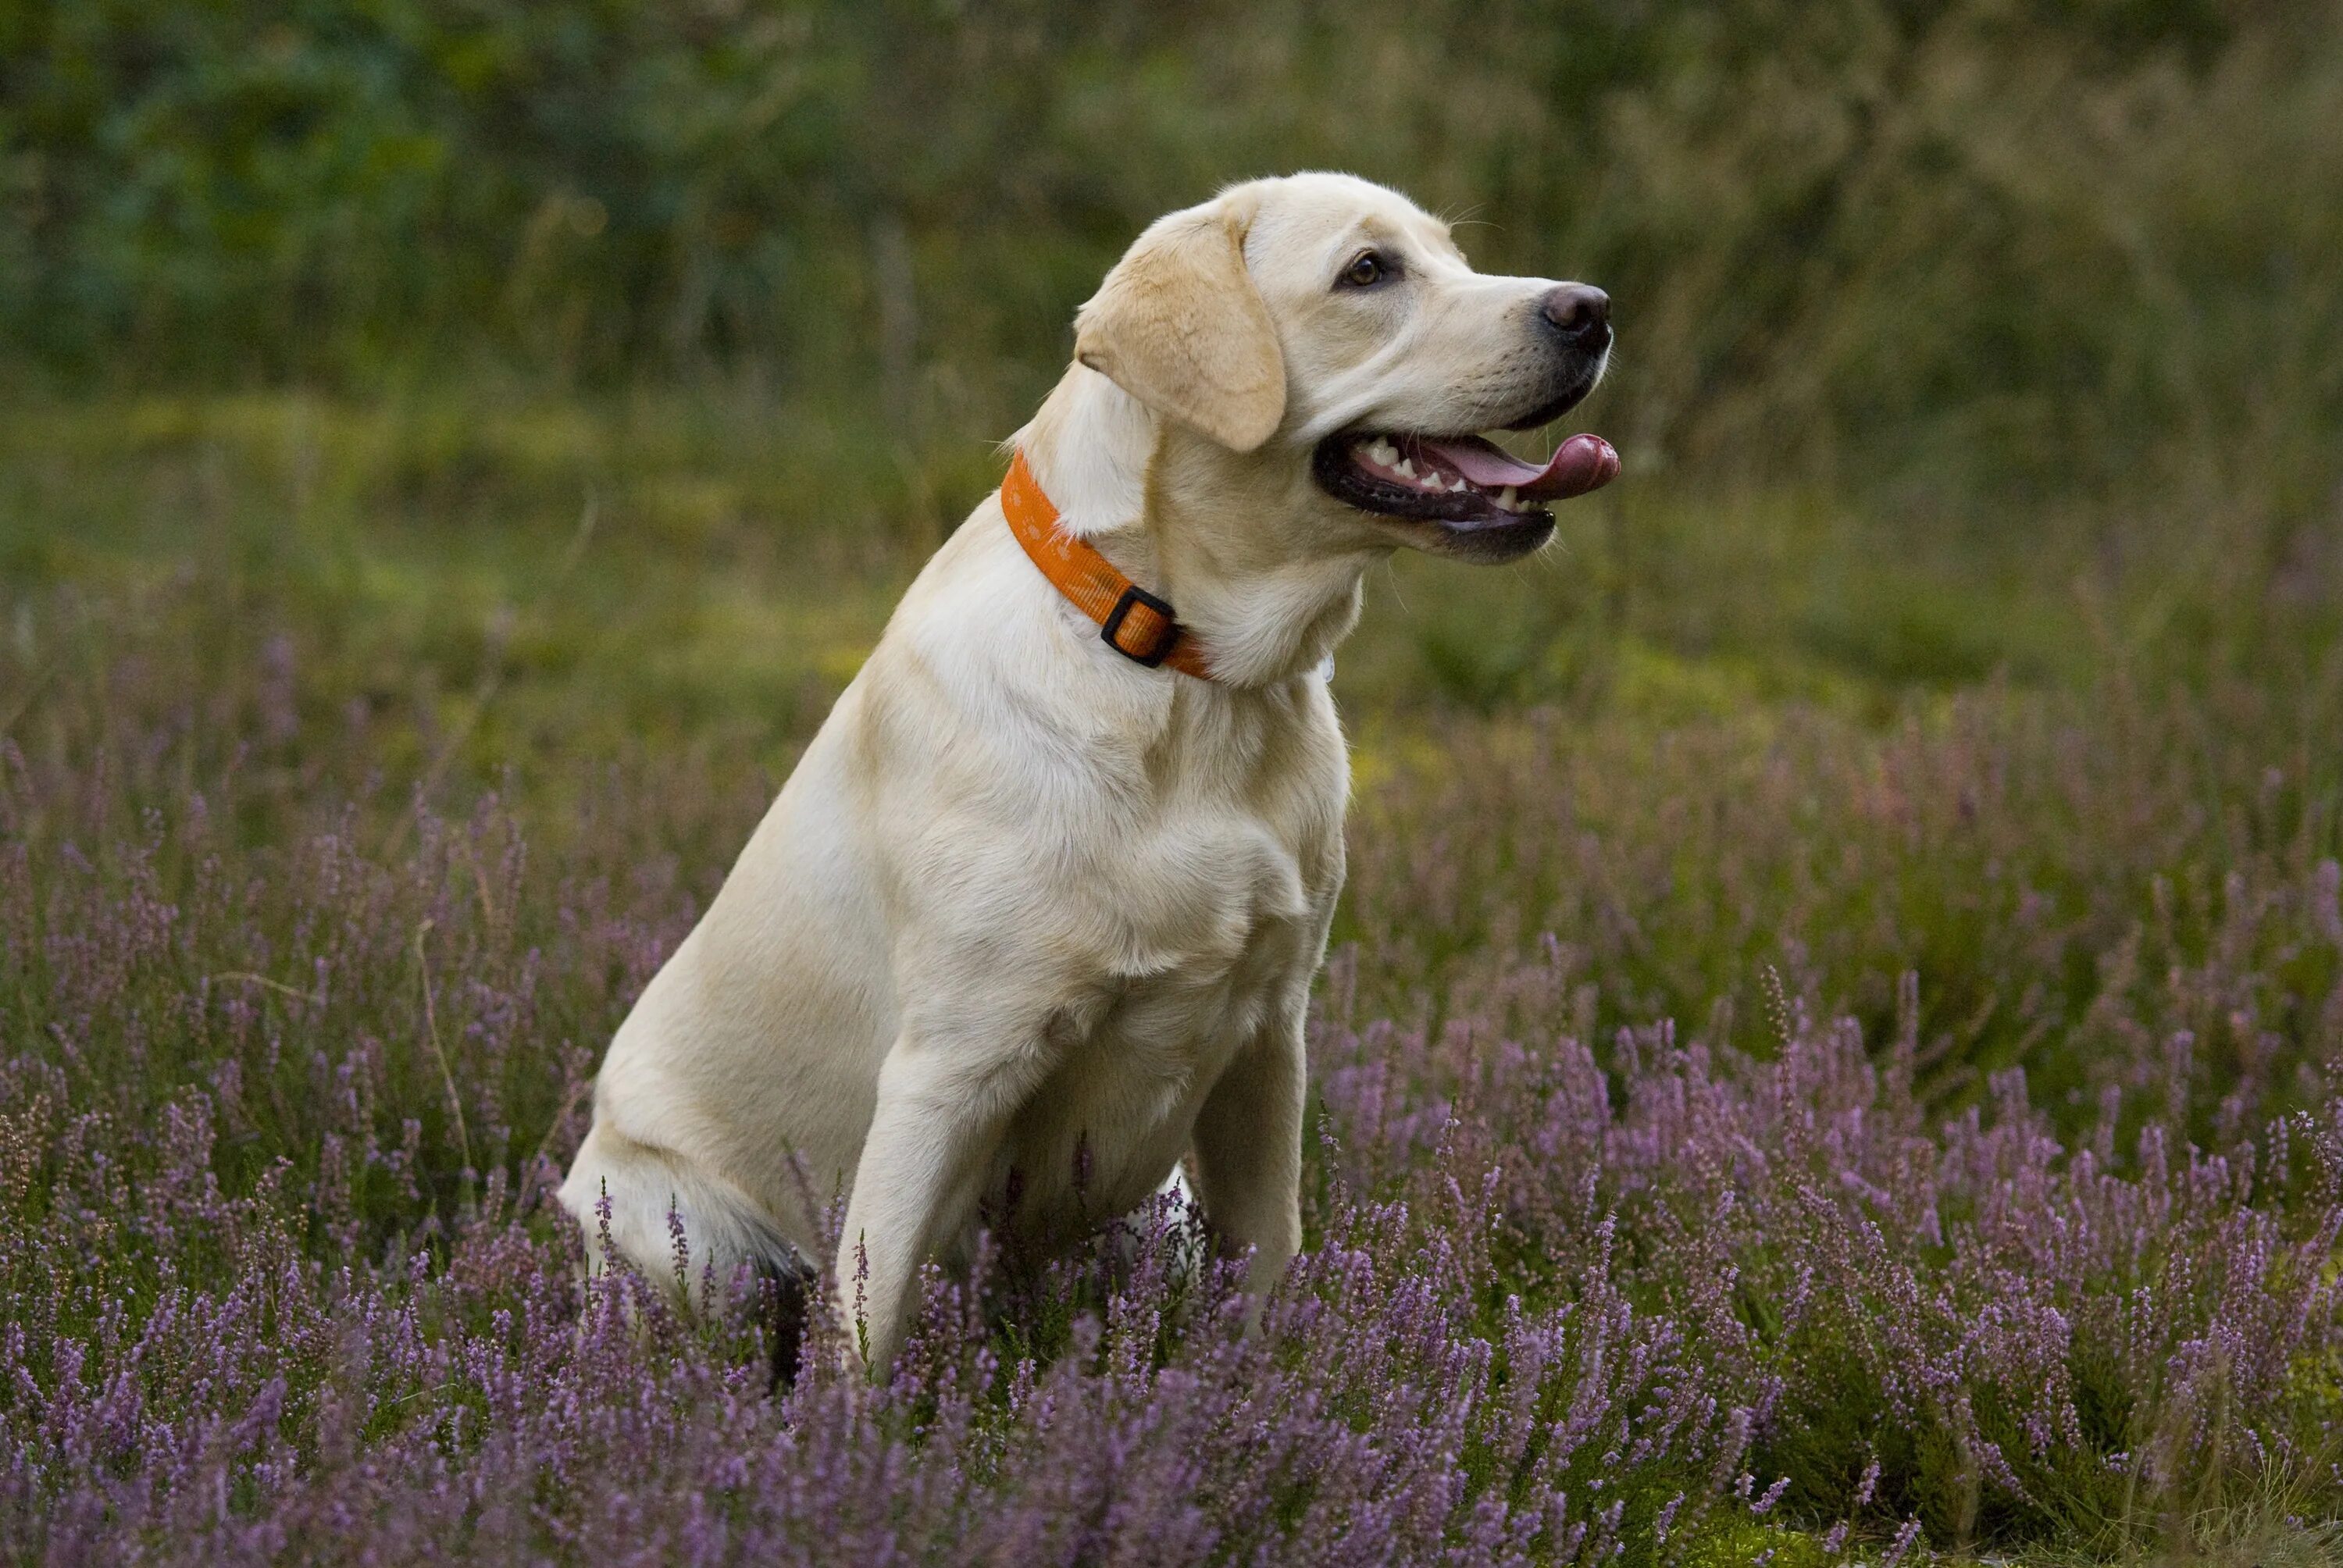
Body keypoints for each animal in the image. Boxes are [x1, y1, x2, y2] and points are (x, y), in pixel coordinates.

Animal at [560, 174, 1621, 1368]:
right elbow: (867, 1333)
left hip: (1158, 1210)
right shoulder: (948, 1071)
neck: (1186, 673)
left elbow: (1270, 1265)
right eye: (1368, 272)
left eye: (1451, 255)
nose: (1591, 308)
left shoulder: (1269, 1039)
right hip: (690, 1243)